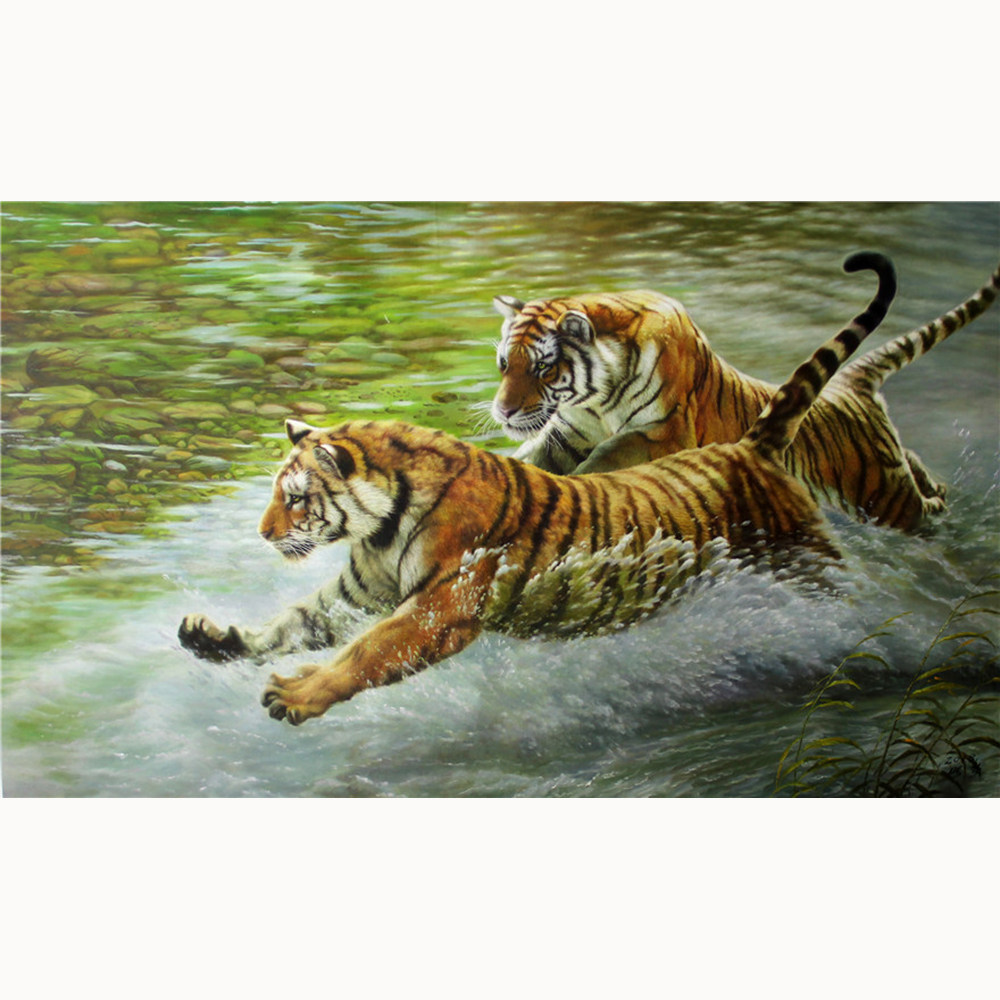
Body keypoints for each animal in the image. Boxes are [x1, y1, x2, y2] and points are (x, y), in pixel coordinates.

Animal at [178, 251, 895, 725]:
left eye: (296, 497)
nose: (263, 533)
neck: (380, 525)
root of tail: (749, 444)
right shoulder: (359, 590)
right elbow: (295, 621)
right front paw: (216, 639)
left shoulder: (441, 607)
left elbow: (367, 651)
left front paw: (295, 696)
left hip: (809, 566)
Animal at [488, 261, 1000, 531]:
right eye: (504, 363)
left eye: (544, 367)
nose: (503, 411)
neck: (597, 398)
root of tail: (850, 384)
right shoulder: (570, 431)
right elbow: (536, 457)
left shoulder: (662, 433)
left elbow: (606, 461)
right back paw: (937, 484)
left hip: (886, 498)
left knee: (924, 510)